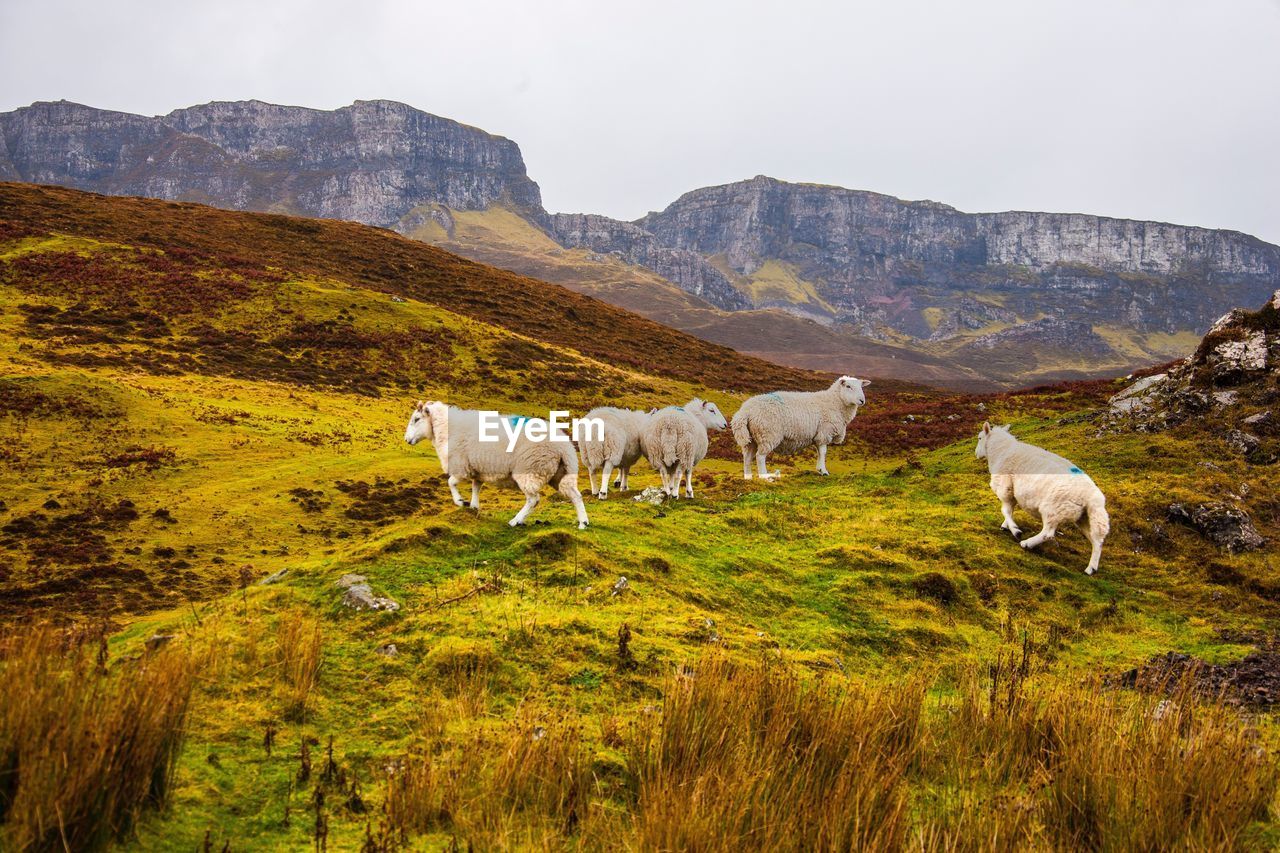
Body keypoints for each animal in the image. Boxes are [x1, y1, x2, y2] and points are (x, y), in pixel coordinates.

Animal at [401, 399, 591, 525]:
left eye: (416, 419)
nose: (406, 440)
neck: (447, 429)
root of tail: (564, 447)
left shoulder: (461, 466)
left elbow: (451, 482)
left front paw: (460, 501)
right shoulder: (477, 470)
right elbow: (476, 488)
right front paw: (474, 507)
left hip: (530, 469)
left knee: (533, 499)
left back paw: (515, 521)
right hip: (561, 472)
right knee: (575, 495)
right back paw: (583, 523)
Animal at [732, 373, 870, 479]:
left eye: (861, 387)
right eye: (848, 386)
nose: (862, 401)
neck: (835, 402)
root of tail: (745, 411)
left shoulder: (818, 435)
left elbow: (819, 452)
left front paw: (819, 469)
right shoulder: (824, 432)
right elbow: (823, 452)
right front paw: (824, 471)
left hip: (752, 438)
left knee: (747, 458)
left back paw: (748, 477)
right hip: (768, 434)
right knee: (760, 457)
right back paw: (765, 477)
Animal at [977, 422, 1111, 573]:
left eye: (979, 438)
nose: (976, 454)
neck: (1001, 451)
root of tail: (1092, 497)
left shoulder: (1005, 488)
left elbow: (1005, 510)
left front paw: (1015, 530)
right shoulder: (1012, 492)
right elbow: (1010, 510)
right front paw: (1006, 526)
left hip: (1053, 508)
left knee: (1048, 533)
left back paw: (1027, 543)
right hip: (1083, 517)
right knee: (1096, 541)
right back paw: (1091, 568)